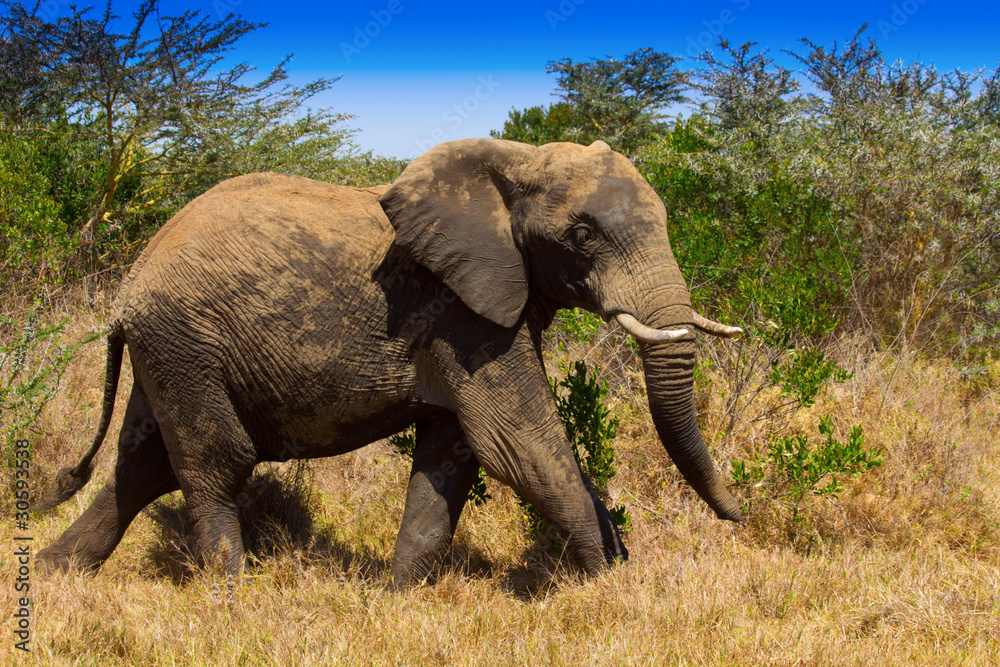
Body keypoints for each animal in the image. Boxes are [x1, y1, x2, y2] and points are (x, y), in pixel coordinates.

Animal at [34, 138, 744, 585]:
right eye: (583, 235)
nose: (742, 514)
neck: (514, 161)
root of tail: (128, 287)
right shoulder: (461, 312)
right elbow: (519, 446)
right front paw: (613, 588)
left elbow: (453, 452)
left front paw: (396, 595)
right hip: (186, 343)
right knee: (214, 463)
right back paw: (230, 597)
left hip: (169, 350)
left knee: (143, 464)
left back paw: (52, 574)